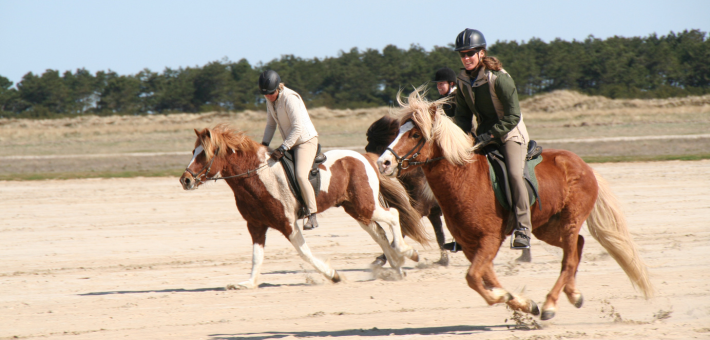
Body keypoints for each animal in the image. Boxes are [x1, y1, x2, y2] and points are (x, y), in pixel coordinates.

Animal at [181, 123, 432, 288]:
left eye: (204, 154)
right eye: (193, 151)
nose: (185, 180)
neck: (257, 176)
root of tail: (364, 157)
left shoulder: (288, 225)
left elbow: (304, 253)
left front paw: (333, 275)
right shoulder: (256, 226)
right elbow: (256, 256)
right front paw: (249, 283)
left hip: (366, 206)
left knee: (394, 215)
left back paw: (406, 253)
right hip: (357, 211)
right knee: (379, 233)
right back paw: (397, 266)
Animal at [378, 86, 656, 320]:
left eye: (415, 134)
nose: (383, 163)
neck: (465, 178)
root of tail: (584, 166)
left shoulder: (490, 239)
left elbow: (473, 278)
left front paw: (509, 297)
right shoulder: (470, 245)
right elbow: (485, 278)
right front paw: (522, 302)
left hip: (569, 221)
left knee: (569, 257)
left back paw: (551, 304)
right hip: (546, 227)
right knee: (577, 245)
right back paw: (573, 294)